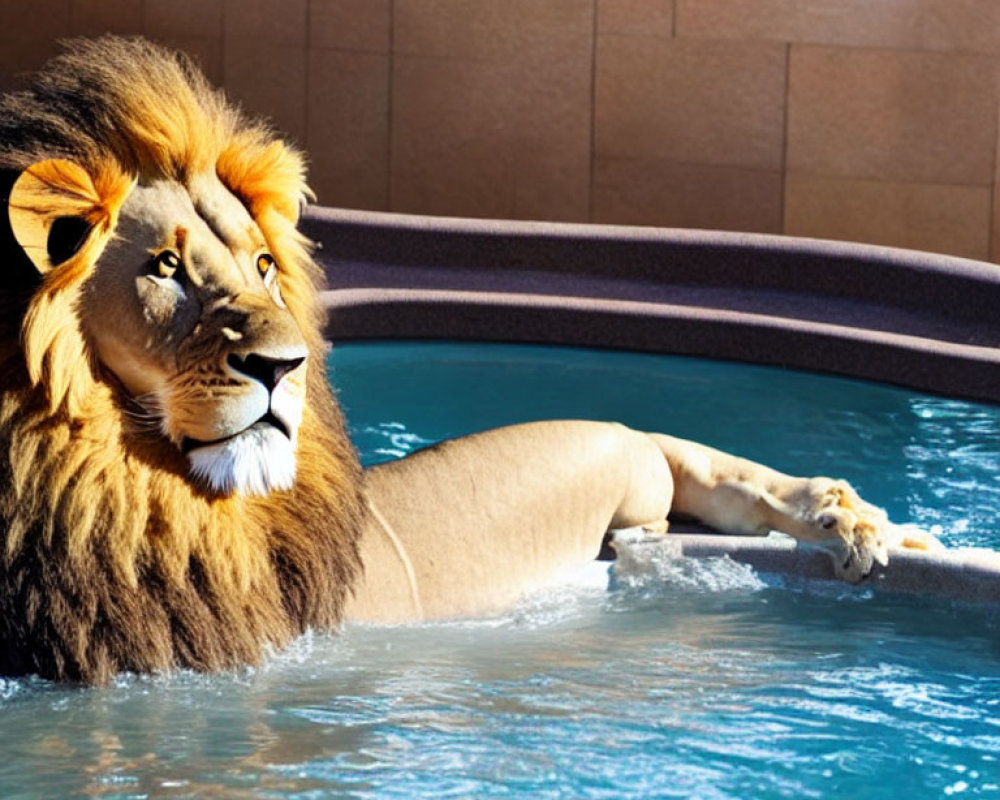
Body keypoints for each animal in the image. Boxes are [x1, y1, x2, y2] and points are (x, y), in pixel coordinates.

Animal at [0, 37, 936, 684]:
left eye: (262, 264)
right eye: (165, 267)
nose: (284, 366)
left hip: (616, 457)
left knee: (693, 462)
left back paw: (845, 521)